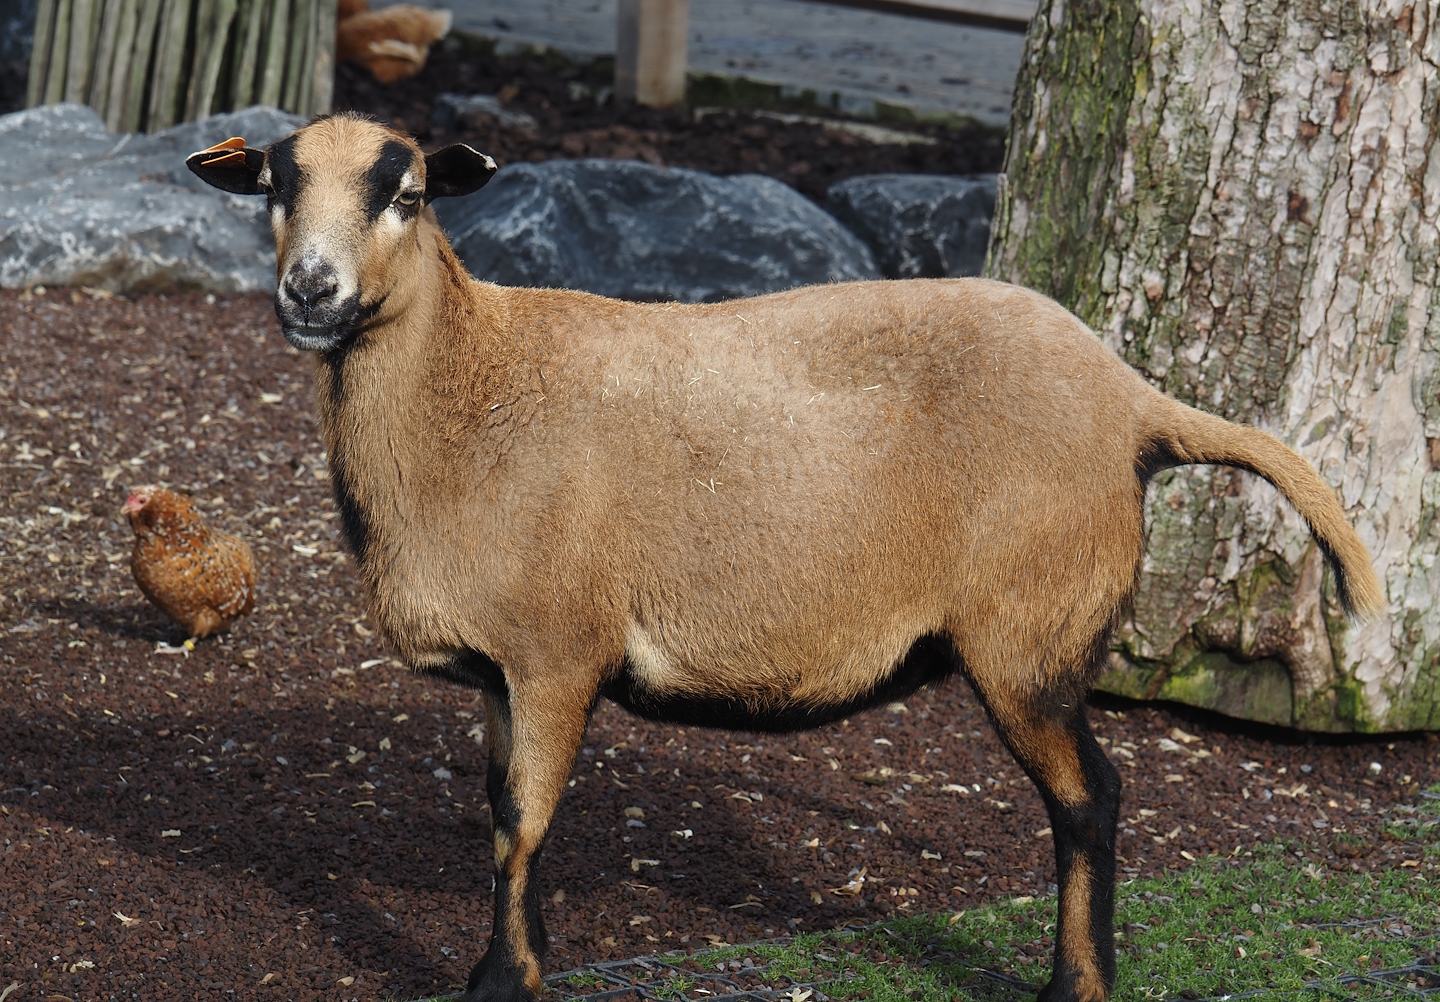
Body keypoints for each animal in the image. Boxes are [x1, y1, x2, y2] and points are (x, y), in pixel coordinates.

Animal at [187, 115, 1382, 1002]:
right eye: (273, 188)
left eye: (409, 194)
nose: (311, 290)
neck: (468, 389)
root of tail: (1132, 397)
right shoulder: (502, 669)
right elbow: (495, 817)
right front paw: (514, 965)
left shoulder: (559, 652)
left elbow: (524, 825)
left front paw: (499, 984)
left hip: (1028, 632)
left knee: (1093, 797)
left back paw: (1074, 986)